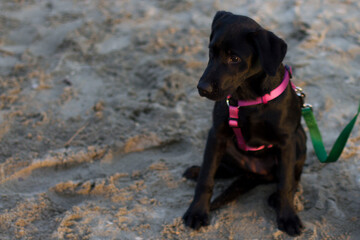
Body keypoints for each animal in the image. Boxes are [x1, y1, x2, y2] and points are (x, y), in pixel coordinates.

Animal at [183, 11, 306, 236]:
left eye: (234, 58)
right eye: (211, 52)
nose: (202, 88)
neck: (248, 95)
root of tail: (256, 172)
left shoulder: (286, 142)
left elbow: (285, 183)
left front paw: (288, 217)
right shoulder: (217, 134)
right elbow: (207, 176)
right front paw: (197, 211)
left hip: (301, 138)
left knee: (293, 175)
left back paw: (276, 197)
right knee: (224, 169)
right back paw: (197, 171)